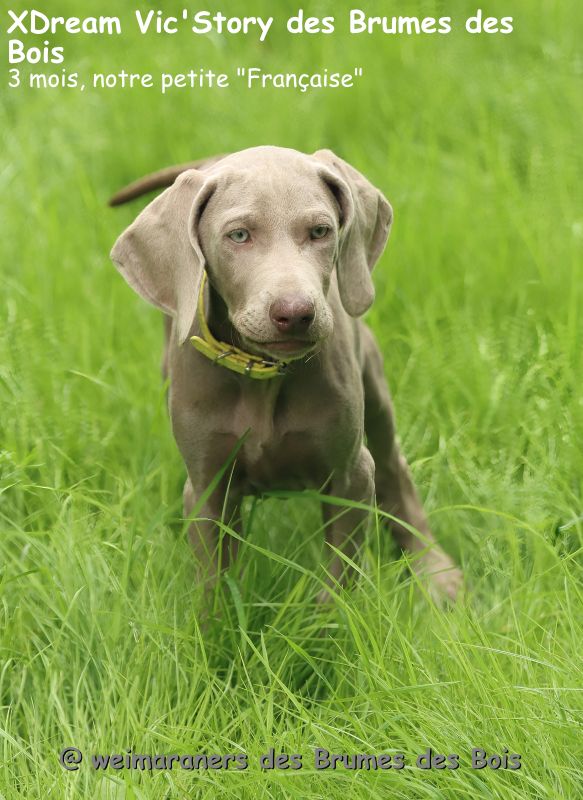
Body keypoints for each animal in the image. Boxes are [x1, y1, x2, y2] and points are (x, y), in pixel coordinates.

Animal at [110, 146, 462, 602]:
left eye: (320, 231)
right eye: (239, 236)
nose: (295, 313)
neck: (263, 375)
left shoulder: (349, 475)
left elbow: (340, 578)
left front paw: (331, 617)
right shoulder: (207, 489)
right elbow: (214, 585)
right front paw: (217, 622)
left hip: (375, 394)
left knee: (393, 469)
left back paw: (432, 569)